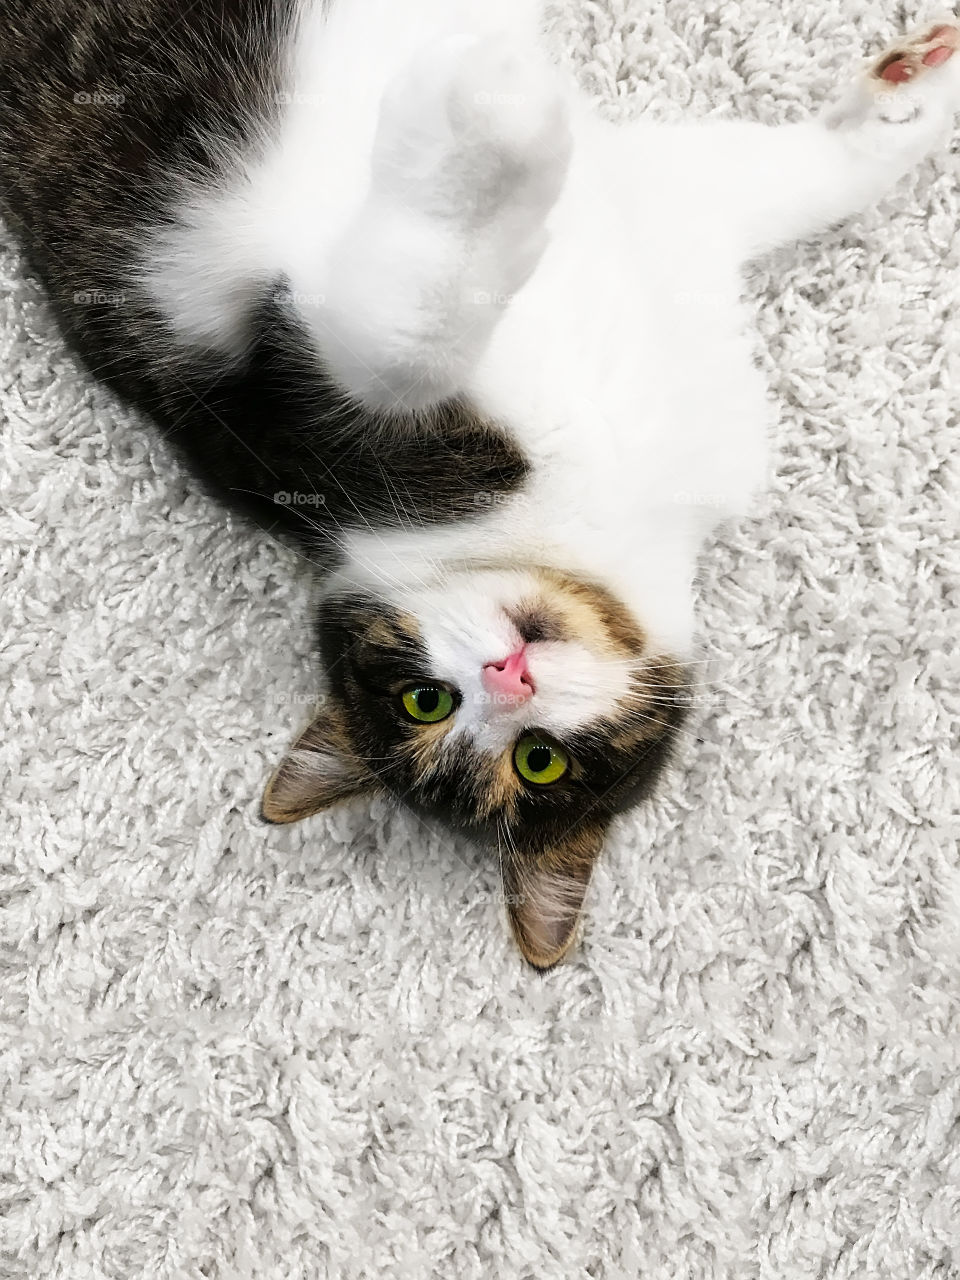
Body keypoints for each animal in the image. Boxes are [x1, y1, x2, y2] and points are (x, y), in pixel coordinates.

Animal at [1, 0, 960, 962]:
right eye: (426, 701)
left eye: (538, 760)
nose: (508, 675)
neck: (607, 521)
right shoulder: (271, 405)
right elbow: (411, 331)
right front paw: (488, 124)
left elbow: (792, 178)